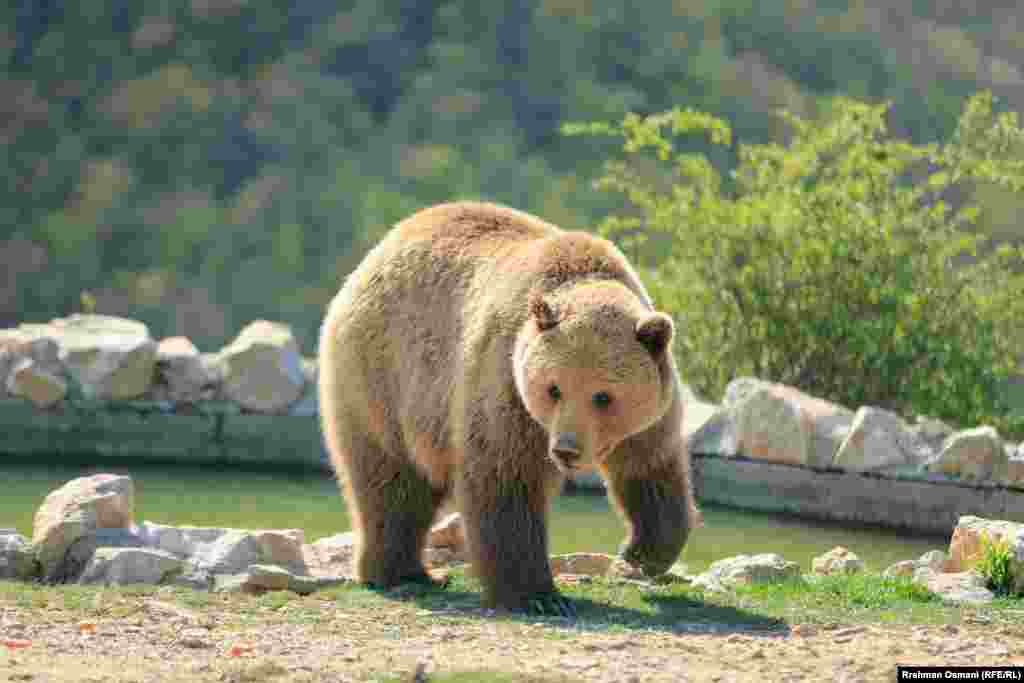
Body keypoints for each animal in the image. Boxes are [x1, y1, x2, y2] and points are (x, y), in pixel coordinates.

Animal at [319, 200, 696, 618]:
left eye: (603, 396)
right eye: (553, 388)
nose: (566, 448)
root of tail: (372, 257)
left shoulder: (650, 416)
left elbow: (650, 471)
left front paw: (639, 554)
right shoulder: (505, 385)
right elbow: (504, 479)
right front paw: (539, 595)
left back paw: (412, 572)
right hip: (384, 376)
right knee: (391, 481)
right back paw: (400, 572)